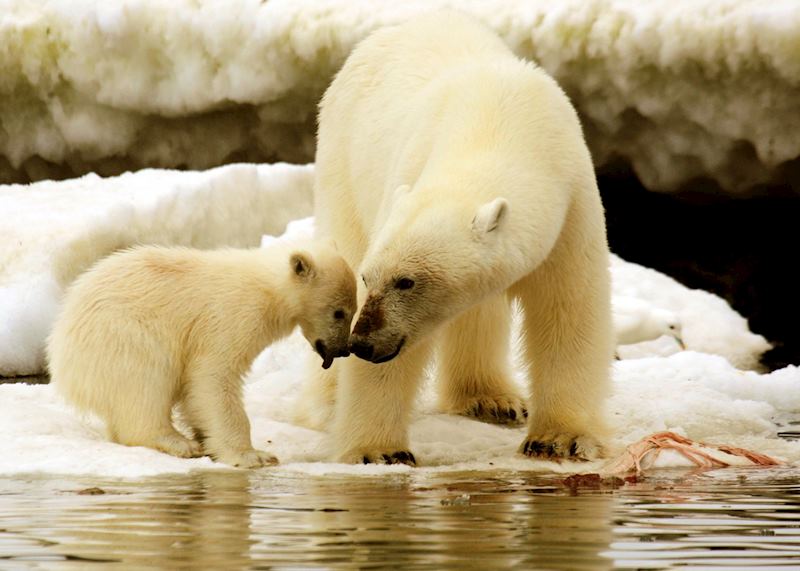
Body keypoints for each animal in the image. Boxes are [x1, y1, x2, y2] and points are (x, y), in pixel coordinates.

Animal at [47, 241, 356, 468]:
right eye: (338, 312)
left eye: (352, 309)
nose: (342, 349)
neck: (266, 286)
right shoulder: (231, 316)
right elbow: (214, 375)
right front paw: (253, 455)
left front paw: (205, 435)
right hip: (123, 336)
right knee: (145, 382)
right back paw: (177, 442)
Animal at [300, 11, 614, 465]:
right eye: (368, 278)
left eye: (406, 281)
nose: (362, 343)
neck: (498, 123)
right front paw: (379, 451)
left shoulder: (572, 205)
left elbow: (567, 310)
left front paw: (559, 438)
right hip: (342, 162)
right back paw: (327, 404)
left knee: (479, 314)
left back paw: (493, 400)